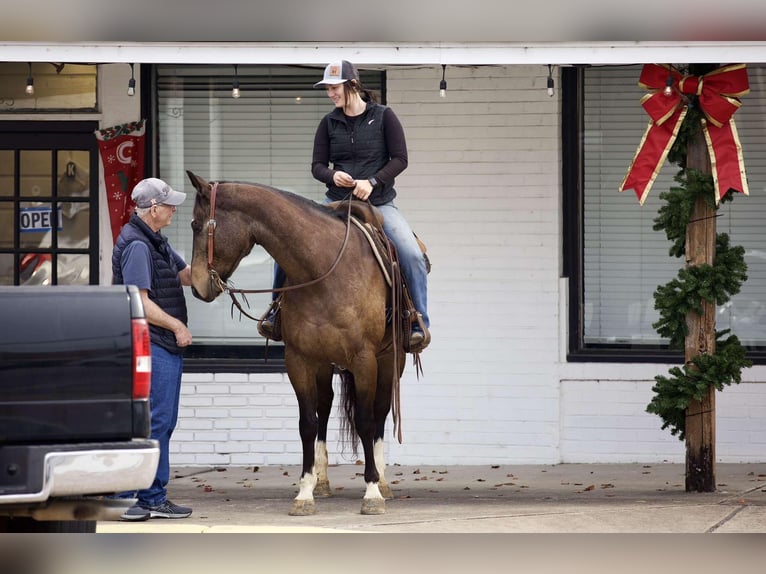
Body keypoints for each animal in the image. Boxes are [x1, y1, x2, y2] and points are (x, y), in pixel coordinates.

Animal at [185, 171, 414, 516]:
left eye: (196, 225)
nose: (197, 286)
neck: (324, 270)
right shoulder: (299, 359)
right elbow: (308, 423)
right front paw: (305, 491)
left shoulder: (365, 359)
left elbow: (365, 420)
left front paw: (372, 491)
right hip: (324, 362)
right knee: (325, 407)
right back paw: (323, 481)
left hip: (391, 360)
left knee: (380, 411)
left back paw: (384, 482)